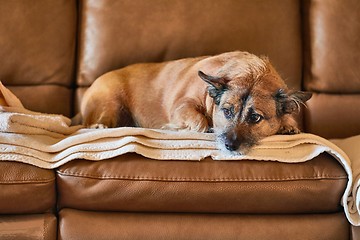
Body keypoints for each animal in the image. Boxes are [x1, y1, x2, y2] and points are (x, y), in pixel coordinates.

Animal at [79, 51, 312, 154]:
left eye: (255, 117)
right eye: (227, 111)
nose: (229, 146)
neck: (252, 71)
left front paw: (288, 125)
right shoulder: (182, 106)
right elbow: (199, 120)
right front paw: (202, 127)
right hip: (110, 101)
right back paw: (98, 126)